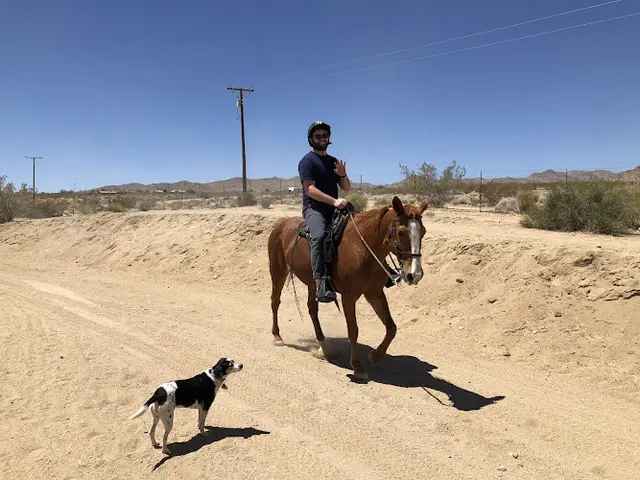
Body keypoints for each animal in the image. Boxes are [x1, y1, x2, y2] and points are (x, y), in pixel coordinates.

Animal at [267, 196, 429, 380]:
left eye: (423, 231)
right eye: (401, 232)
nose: (414, 274)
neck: (363, 248)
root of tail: (281, 223)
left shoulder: (374, 293)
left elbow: (391, 327)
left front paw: (375, 355)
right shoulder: (349, 296)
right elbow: (353, 330)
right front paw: (357, 366)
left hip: (312, 283)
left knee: (312, 309)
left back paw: (323, 347)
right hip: (278, 272)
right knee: (275, 301)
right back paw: (277, 336)